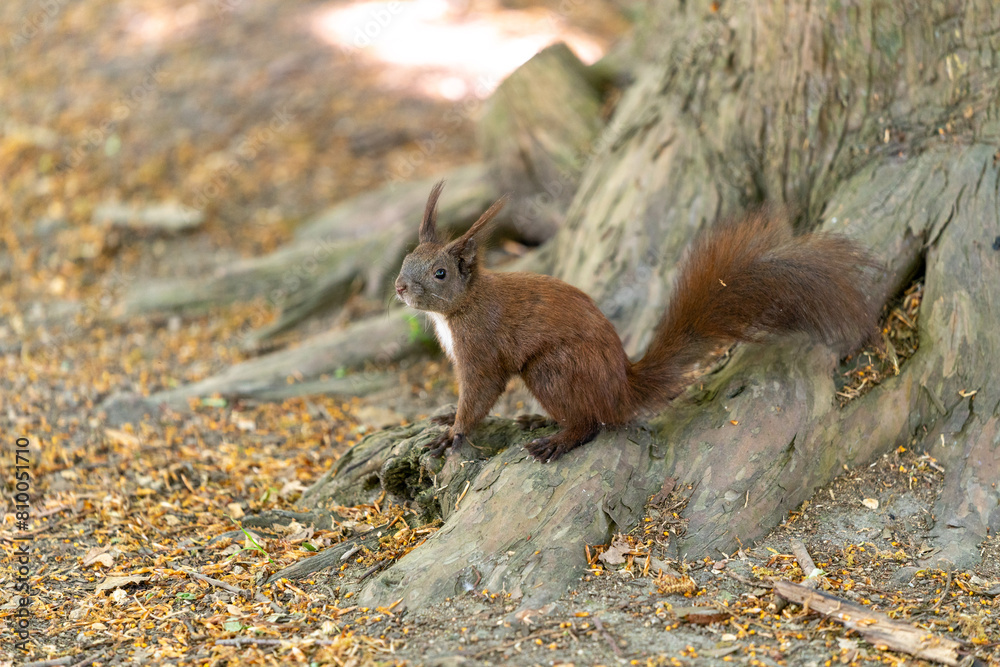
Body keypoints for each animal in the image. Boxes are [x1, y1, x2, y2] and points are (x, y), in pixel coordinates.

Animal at [394, 181, 881, 462]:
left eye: (440, 273)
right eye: (406, 259)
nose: (399, 287)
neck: (462, 306)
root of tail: (621, 389)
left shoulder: (481, 349)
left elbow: (480, 394)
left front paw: (453, 434)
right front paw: (445, 417)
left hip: (552, 369)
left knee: (591, 423)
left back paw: (558, 439)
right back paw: (537, 421)